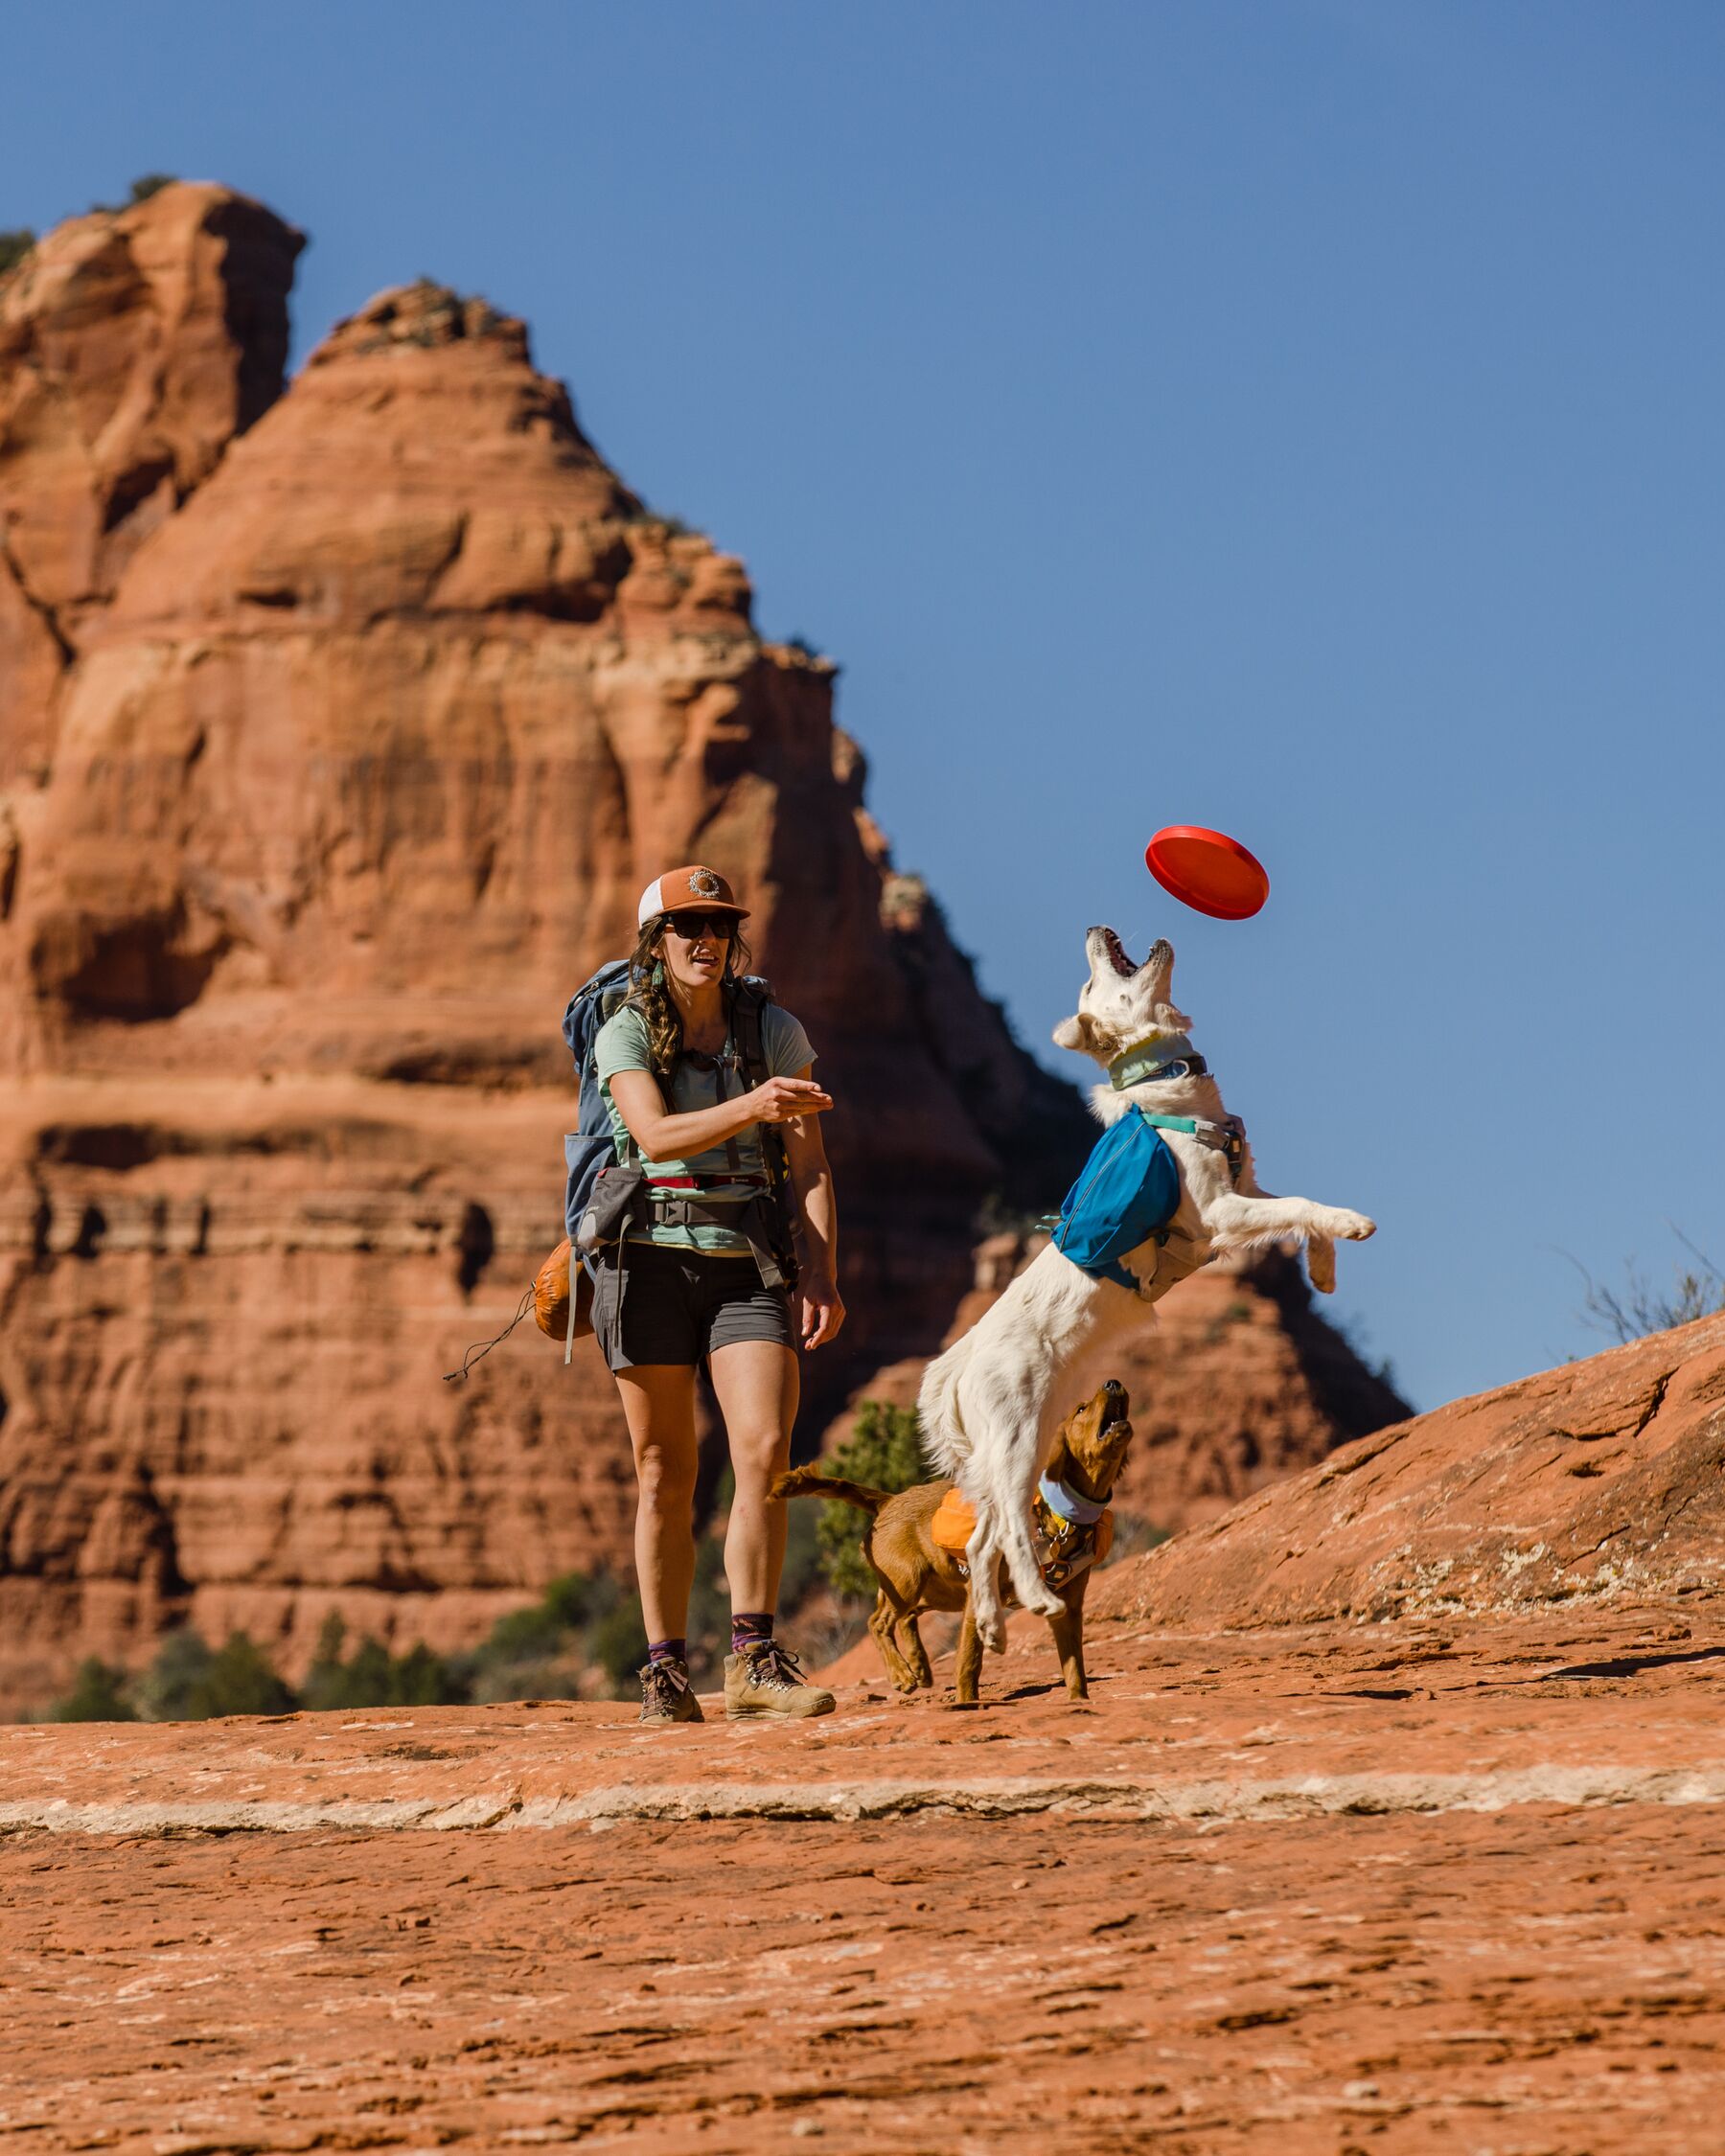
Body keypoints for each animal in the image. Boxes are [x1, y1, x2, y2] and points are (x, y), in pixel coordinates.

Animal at [776, 1380, 1130, 1699]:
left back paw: (919, 1666)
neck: (1059, 1518)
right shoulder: (978, 1593)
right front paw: (966, 1703)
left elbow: (1075, 1670)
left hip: (936, 1589)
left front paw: (1079, 1703)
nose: (1114, 1383)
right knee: (878, 1622)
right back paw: (902, 1673)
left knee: (905, 1617)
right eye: (1081, 1409)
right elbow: (969, 1662)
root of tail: (889, 1500)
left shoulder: (1068, 1608)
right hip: (908, 1580)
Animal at [914, 927, 1371, 1647]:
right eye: (1089, 983)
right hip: (1016, 1441)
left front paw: (1324, 1267)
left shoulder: (1245, 1191)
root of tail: (955, 1364)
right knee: (1010, 1526)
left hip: (1027, 1442)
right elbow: (1304, 1205)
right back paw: (1040, 1600)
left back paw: (990, 1623)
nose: (1096, 930)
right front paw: (1353, 1222)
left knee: (983, 1536)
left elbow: (1298, 1215)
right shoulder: (1218, 1212)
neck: (1169, 1090)